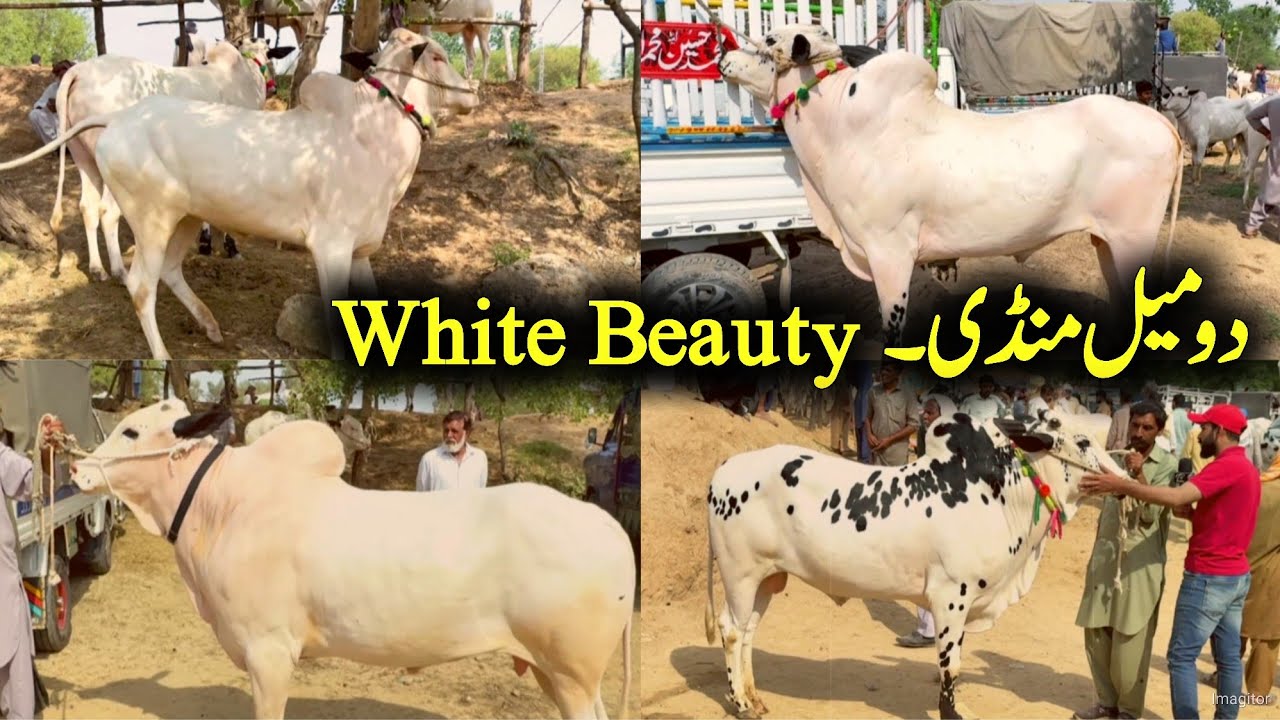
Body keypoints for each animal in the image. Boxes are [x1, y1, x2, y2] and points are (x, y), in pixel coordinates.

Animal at [49, 38, 293, 282]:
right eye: (269, 54)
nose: (274, 87)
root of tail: (80, 71)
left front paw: (206, 244)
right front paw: (230, 247)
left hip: (81, 155)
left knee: (87, 207)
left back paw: (97, 268)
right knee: (107, 211)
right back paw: (120, 271)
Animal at [66, 400, 634, 720]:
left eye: (132, 431)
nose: (77, 467)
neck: (223, 504)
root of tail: (605, 523)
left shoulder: (269, 653)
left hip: (573, 674)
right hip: (553, 672)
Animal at [703, 410, 1128, 720]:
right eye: (1084, 441)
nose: (1123, 478)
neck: (1001, 493)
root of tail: (725, 467)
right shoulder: (951, 597)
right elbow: (950, 665)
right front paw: (950, 713)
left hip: (768, 578)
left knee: (749, 631)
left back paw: (754, 697)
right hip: (740, 574)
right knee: (731, 630)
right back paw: (740, 703)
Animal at [717, 25, 1183, 346]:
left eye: (767, 39)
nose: (723, 52)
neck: (840, 123)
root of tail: (1158, 120)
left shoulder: (890, 254)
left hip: (1132, 240)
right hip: (1105, 241)